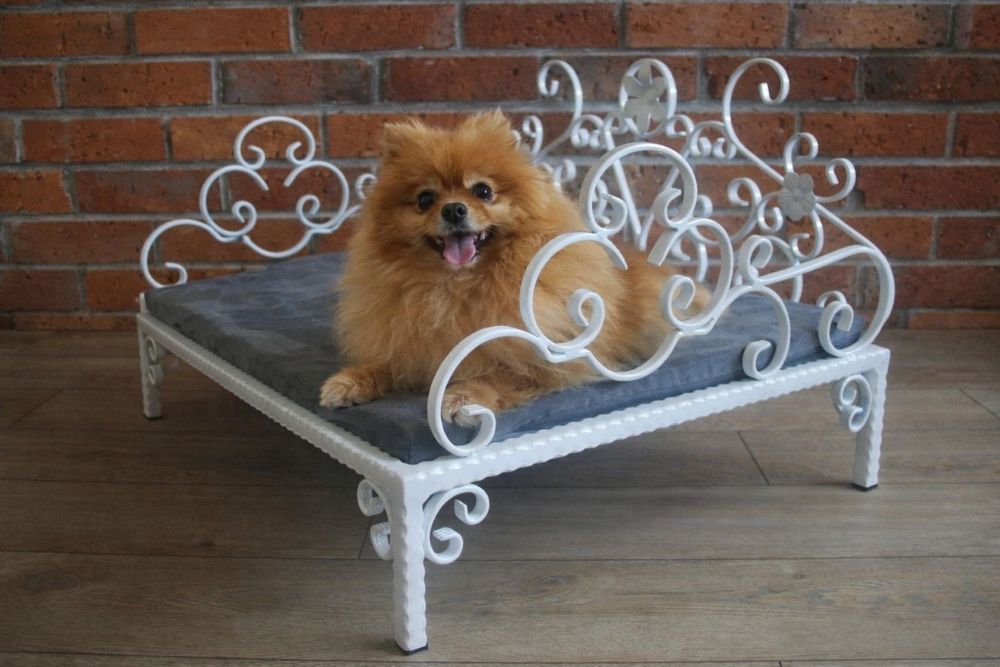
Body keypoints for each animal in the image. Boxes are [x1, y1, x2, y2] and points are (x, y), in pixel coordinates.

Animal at [319, 111, 701, 426]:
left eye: (483, 191)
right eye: (425, 199)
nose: (454, 209)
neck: (455, 288)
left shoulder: (546, 356)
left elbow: (499, 373)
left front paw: (463, 397)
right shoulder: (404, 338)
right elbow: (387, 361)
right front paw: (350, 380)